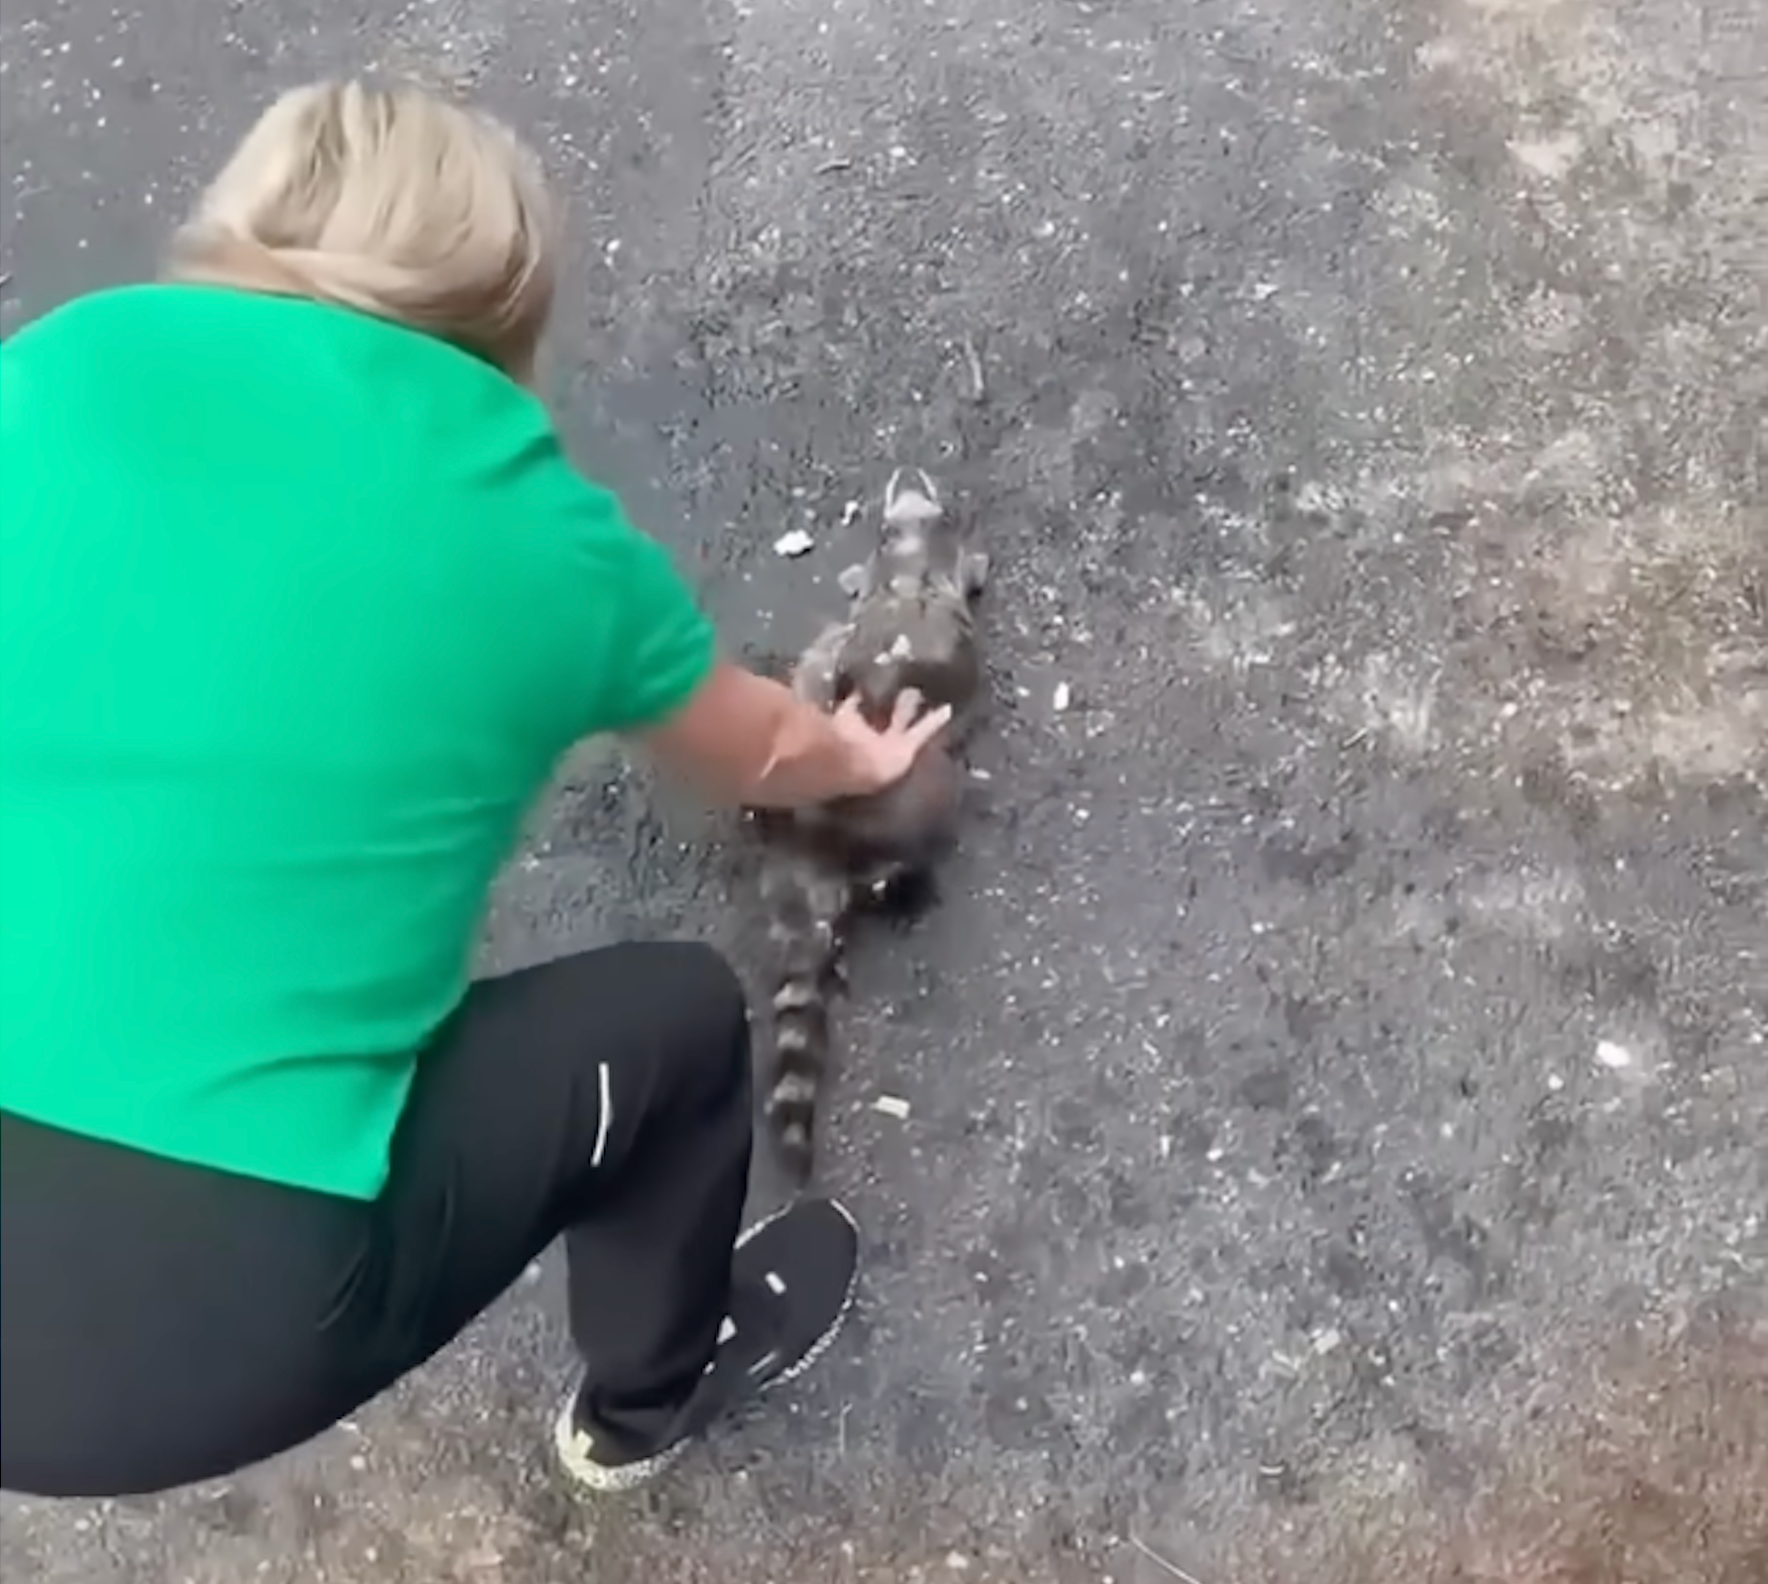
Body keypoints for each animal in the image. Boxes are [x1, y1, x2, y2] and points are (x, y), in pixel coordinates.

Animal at [760, 467, 990, 1182]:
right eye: (946, 511)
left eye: (928, 504)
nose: (910, 475)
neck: (911, 558)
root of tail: (815, 843)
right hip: (925, 787)